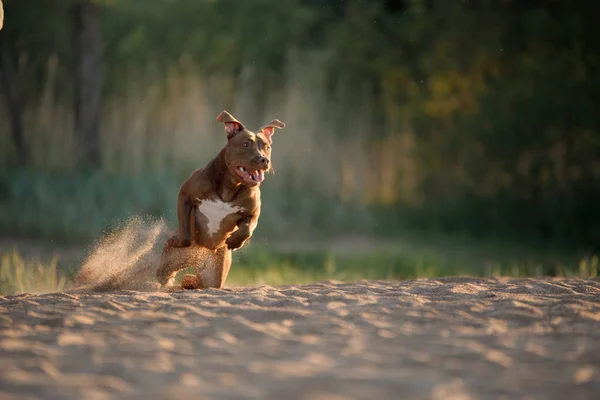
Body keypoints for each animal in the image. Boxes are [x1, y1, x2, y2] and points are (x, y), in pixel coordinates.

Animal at [156, 111, 284, 290]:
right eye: (246, 144)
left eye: (267, 147)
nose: (264, 159)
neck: (229, 187)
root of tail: (201, 250)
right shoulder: (185, 196)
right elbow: (186, 235)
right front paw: (177, 240)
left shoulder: (253, 213)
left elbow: (246, 230)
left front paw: (235, 242)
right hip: (170, 264)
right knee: (164, 273)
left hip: (213, 272)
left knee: (204, 282)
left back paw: (189, 281)